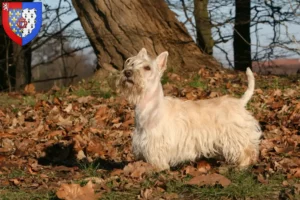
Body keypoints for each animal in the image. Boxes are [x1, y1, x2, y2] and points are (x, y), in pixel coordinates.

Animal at [116, 47, 262, 170]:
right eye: (130, 63)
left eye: (147, 67)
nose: (127, 72)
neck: (150, 106)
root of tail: (239, 102)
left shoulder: (156, 145)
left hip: (235, 135)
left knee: (247, 150)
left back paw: (242, 166)